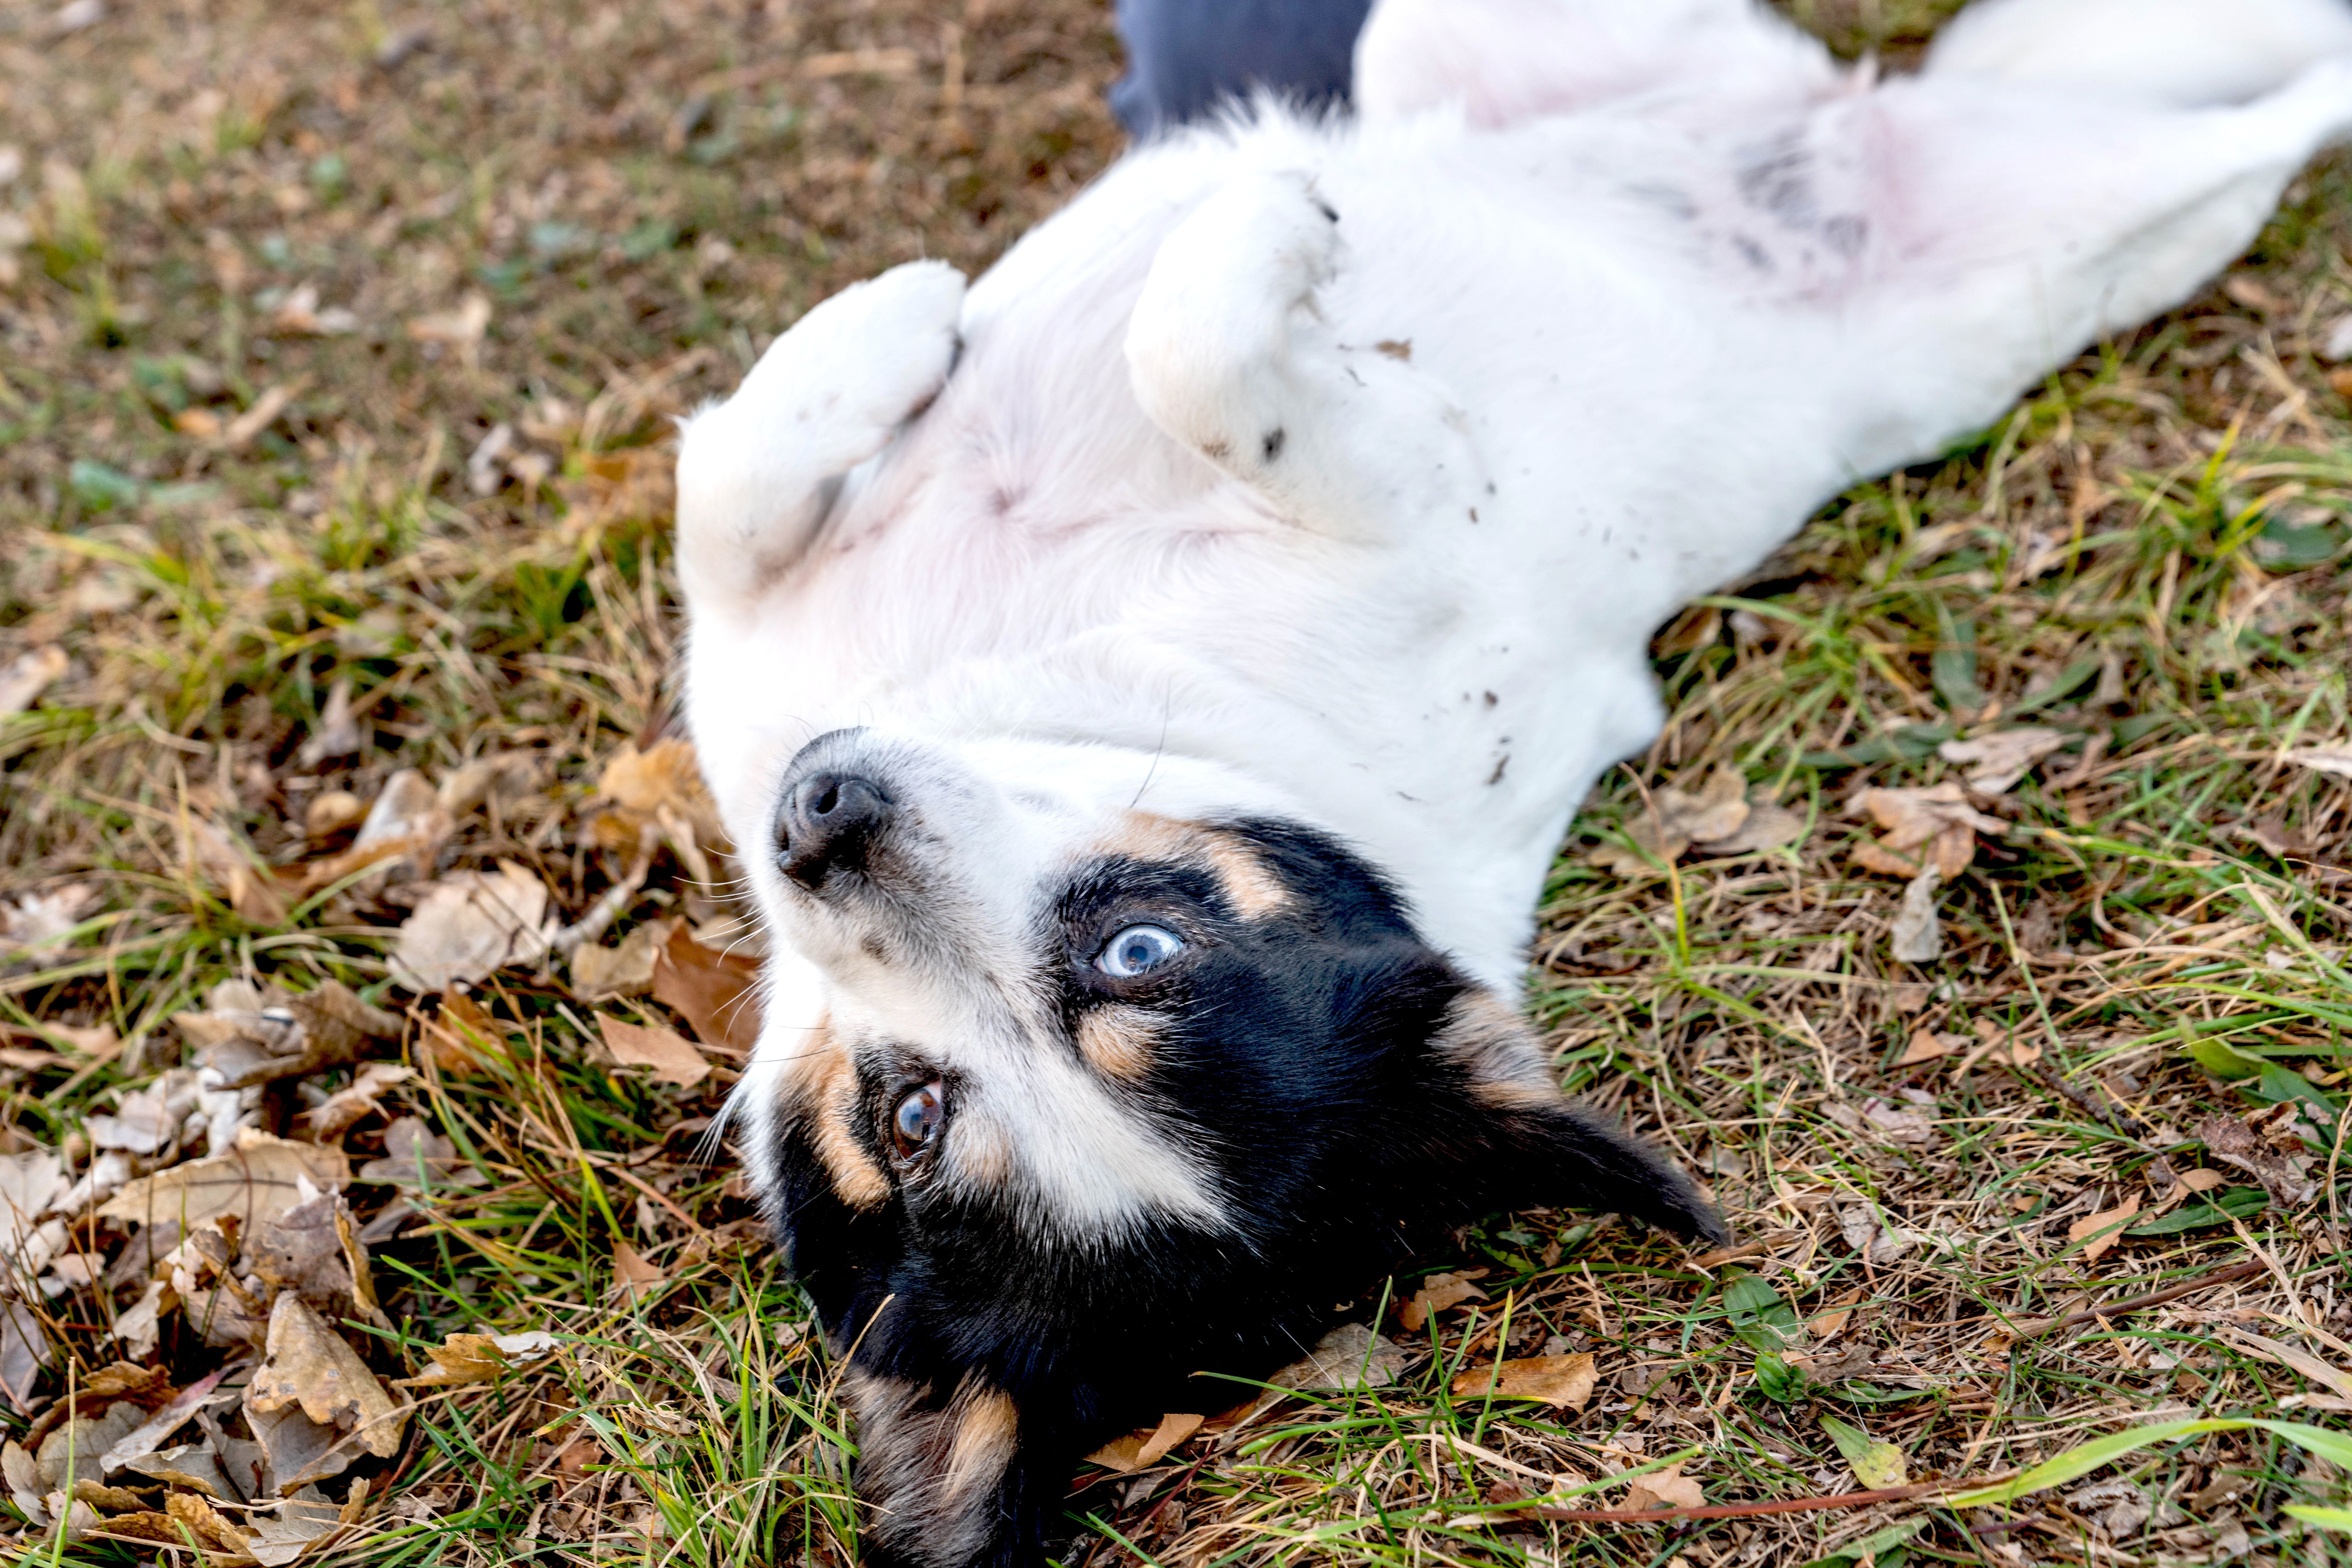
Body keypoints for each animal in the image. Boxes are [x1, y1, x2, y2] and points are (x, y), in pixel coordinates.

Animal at [673, 6, 2352, 1561]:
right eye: (909, 1114)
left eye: (1140, 952)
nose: (817, 822)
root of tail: (1844, 148)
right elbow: (820, 467)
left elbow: (816, 457)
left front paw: (958, 301)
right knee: (2273, 112)